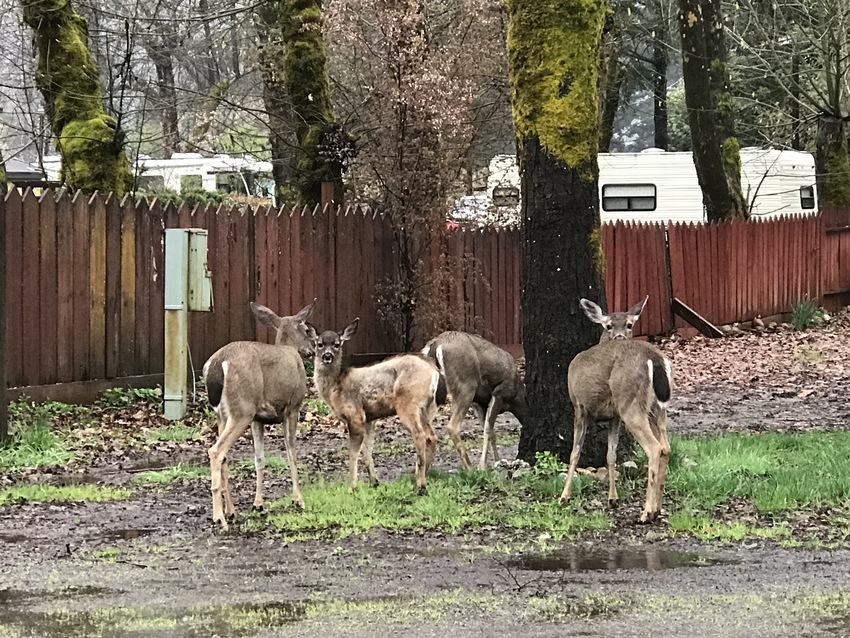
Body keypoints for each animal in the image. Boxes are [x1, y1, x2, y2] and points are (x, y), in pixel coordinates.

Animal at [202, 302, 314, 532]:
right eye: (307, 329)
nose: (312, 350)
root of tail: (217, 364)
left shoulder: (258, 419)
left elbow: (259, 459)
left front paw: (258, 503)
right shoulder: (292, 408)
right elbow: (291, 453)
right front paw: (298, 500)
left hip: (224, 414)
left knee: (224, 455)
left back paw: (231, 511)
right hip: (242, 409)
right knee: (216, 451)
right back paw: (219, 518)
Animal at [304, 318, 438, 496]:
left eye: (337, 344)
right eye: (319, 344)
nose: (327, 356)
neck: (335, 387)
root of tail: (433, 372)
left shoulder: (355, 414)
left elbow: (353, 452)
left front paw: (352, 487)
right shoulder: (369, 418)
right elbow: (367, 449)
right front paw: (374, 482)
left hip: (408, 403)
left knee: (420, 435)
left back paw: (420, 485)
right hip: (425, 408)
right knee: (431, 436)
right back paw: (421, 477)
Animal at [420, 332, 524, 472]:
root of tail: (436, 344)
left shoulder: (479, 403)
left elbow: (491, 432)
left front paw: (497, 461)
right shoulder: (499, 393)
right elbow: (488, 429)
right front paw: (483, 466)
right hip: (466, 386)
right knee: (452, 427)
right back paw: (470, 467)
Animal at [560, 298, 672, 524]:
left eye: (629, 324)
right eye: (609, 325)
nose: (619, 337)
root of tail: (654, 358)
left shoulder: (579, 406)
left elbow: (575, 453)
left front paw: (564, 496)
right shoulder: (614, 416)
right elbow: (610, 455)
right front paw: (612, 499)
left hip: (630, 402)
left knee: (654, 448)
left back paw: (646, 513)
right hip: (656, 409)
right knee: (665, 447)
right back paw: (657, 509)